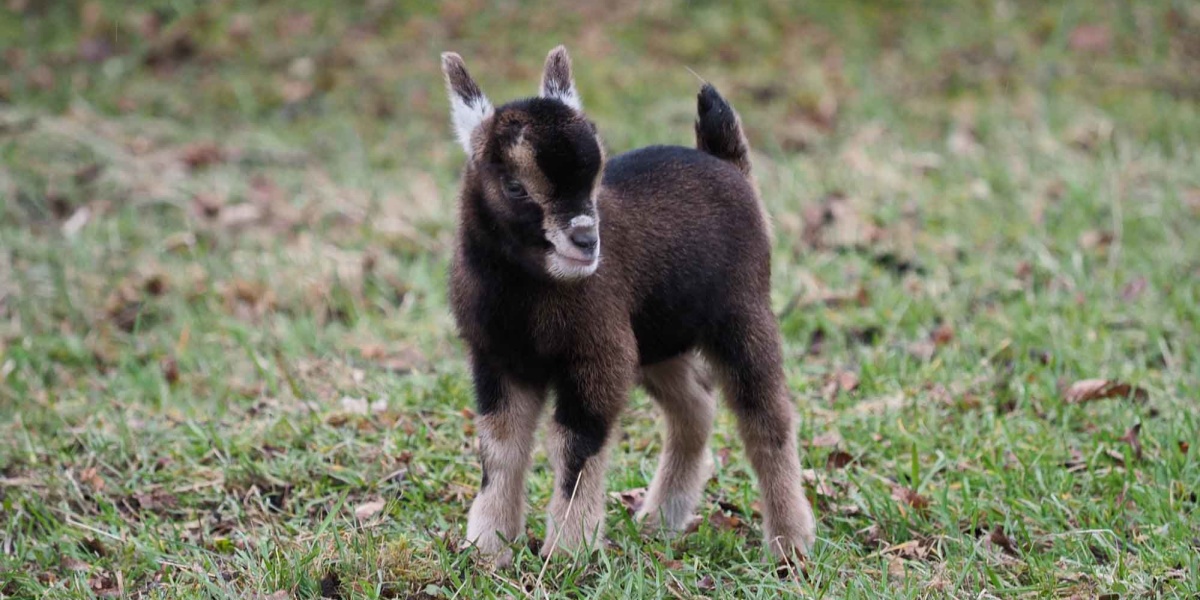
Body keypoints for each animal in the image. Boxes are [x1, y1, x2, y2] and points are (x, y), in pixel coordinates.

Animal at [441, 45, 816, 561]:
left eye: (595, 174)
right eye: (515, 186)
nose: (586, 241)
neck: (527, 292)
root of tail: (728, 164)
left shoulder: (600, 354)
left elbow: (576, 446)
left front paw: (568, 553)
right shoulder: (497, 358)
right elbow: (499, 447)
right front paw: (487, 548)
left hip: (743, 312)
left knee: (767, 420)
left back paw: (789, 544)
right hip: (658, 338)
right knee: (696, 407)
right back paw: (661, 519)